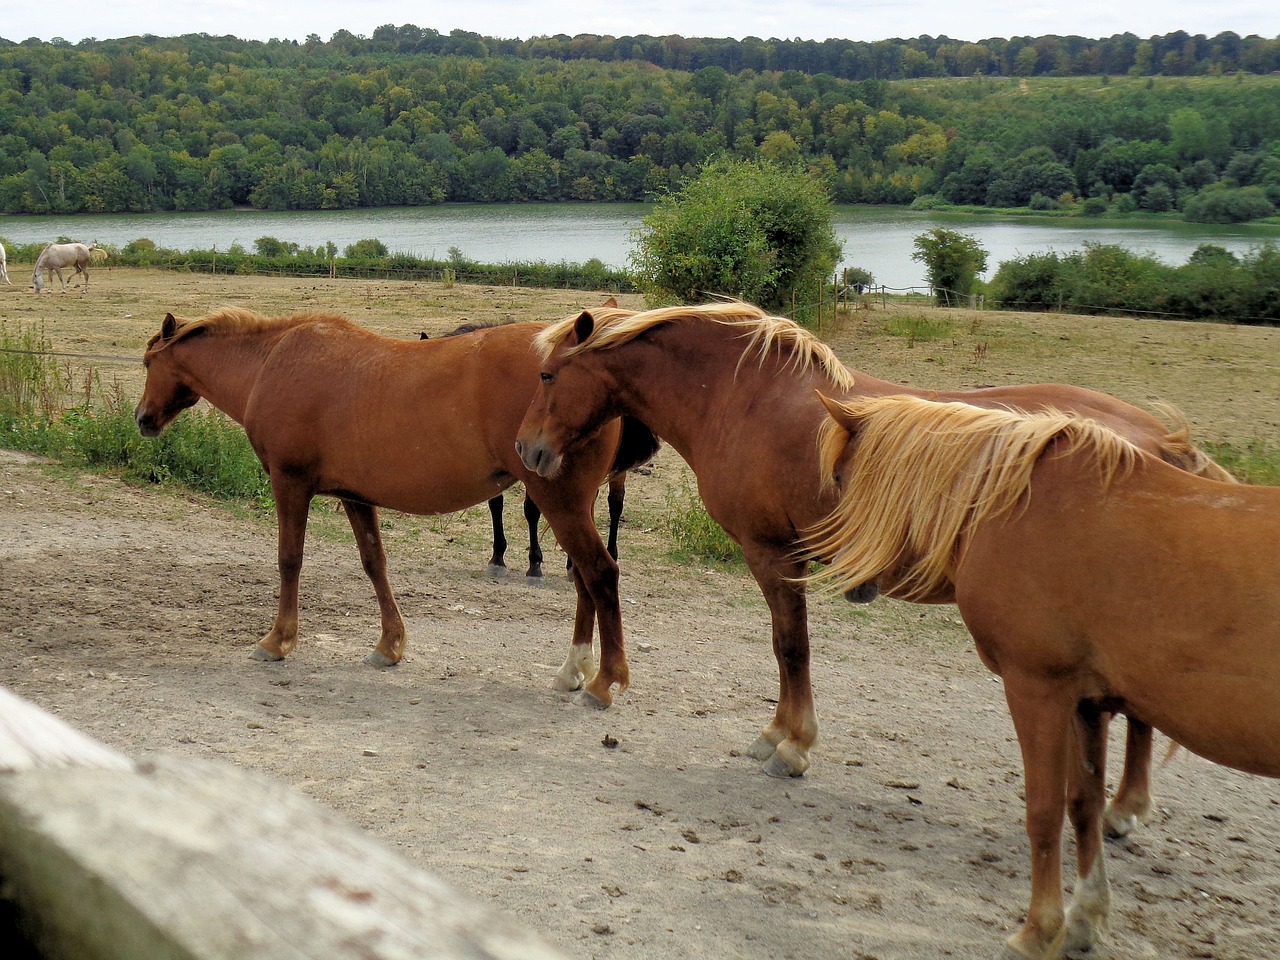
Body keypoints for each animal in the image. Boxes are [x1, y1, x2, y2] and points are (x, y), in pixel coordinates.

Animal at [136, 309, 655, 675]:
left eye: (147, 362)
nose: (143, 418)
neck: (272, 362)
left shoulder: (290, 483)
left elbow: (289, 560)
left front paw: (277, 640)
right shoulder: (354, 495)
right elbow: (374, 563)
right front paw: (390, 645)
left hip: (559, 502)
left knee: (599, 573)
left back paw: (598, 678)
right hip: (573, 505)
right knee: (584, 577)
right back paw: (575, 669)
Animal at [512, 302, 1228, 814]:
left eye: (547, 375)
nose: (528, 450)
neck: (744, 398)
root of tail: (1161, 443)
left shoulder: (774, 556)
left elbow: (790, 647)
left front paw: (792, 745)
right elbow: (787, 647)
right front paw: (778, 735)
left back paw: (1125, 807)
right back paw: (1125, 807)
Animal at [808, 391, 1280, 960]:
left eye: (839, 476)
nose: (842, 572)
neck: (1018, 507)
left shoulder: (1037, 689)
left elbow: (1044, 811)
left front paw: (1037, 930)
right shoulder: (1086, 703)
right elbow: (1082, 806)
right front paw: (1084, 919)